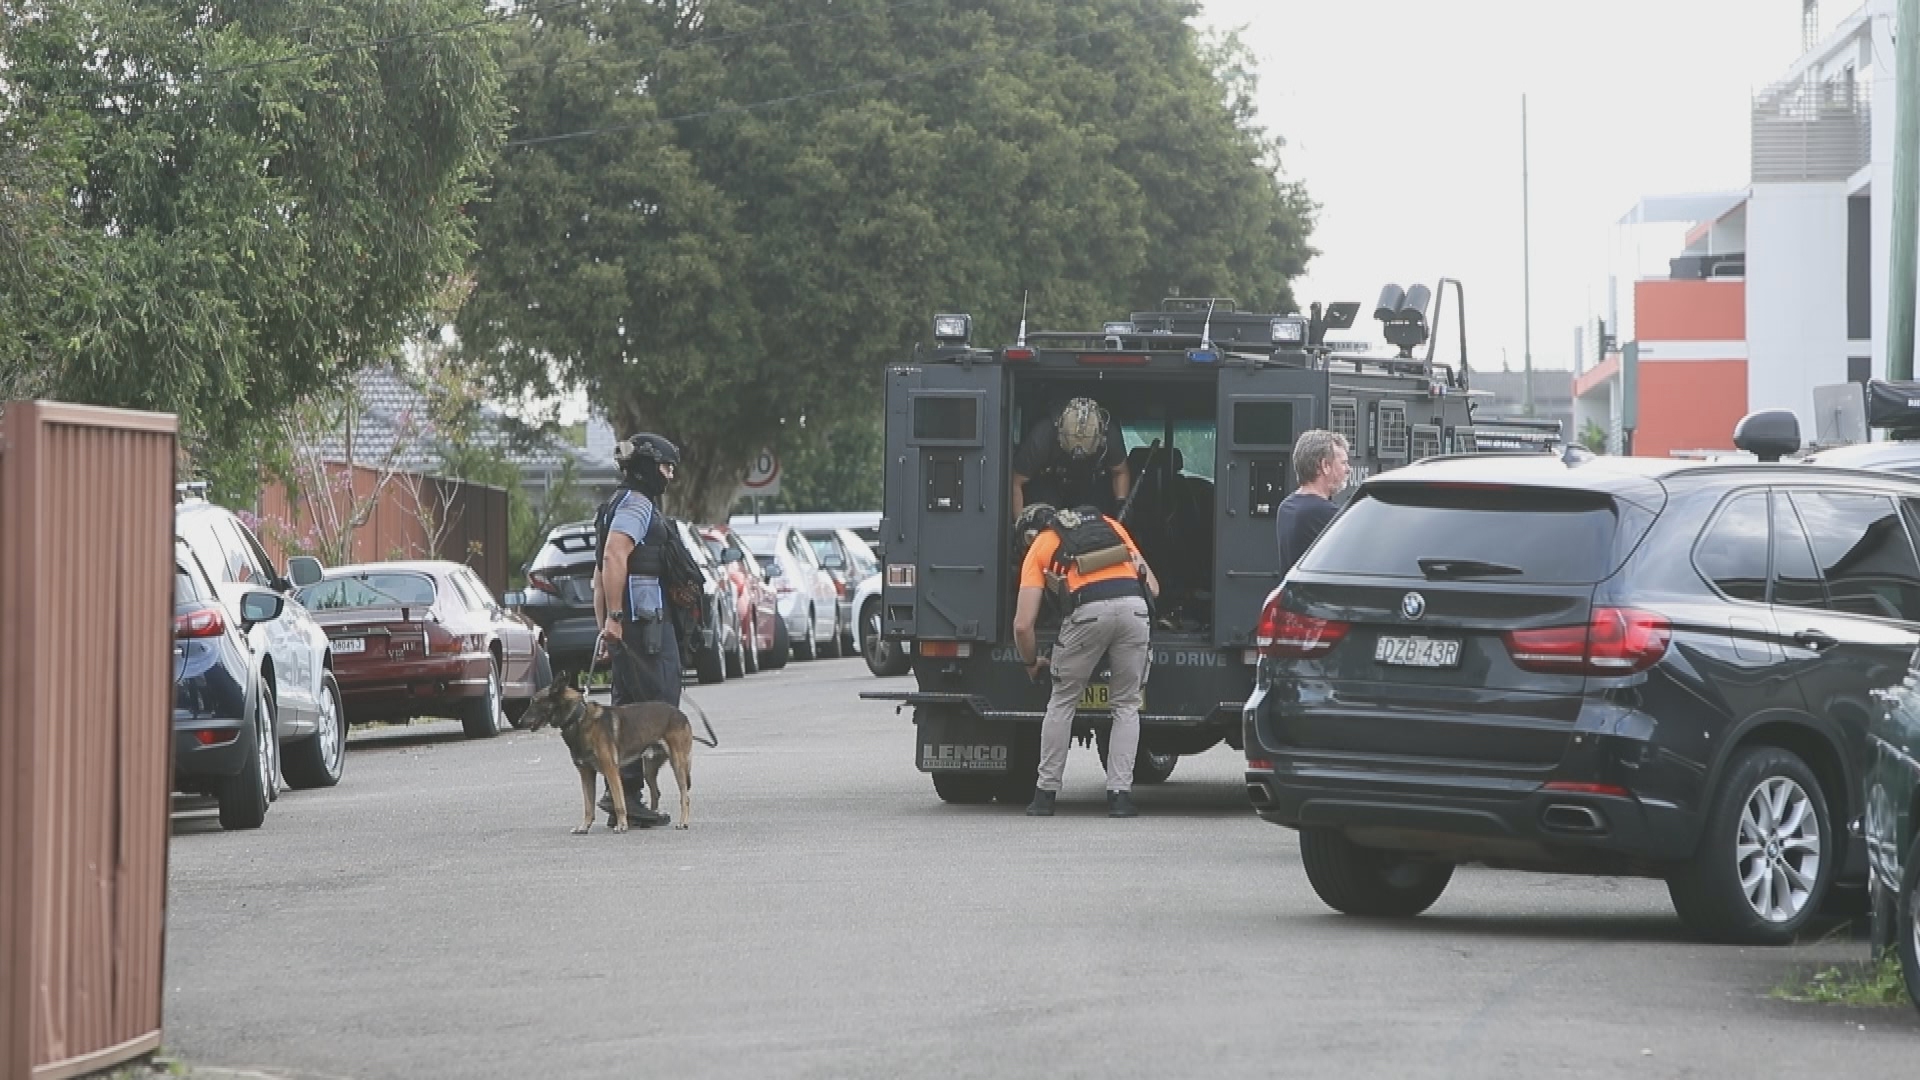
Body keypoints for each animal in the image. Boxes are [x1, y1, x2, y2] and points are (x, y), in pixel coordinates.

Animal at [518, 680, 714, 834]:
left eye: (534, 702)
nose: (519, 721)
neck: (579, 718)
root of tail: (681, 714)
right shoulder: (586, 774)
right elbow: (588, 805)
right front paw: (584, 827)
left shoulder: (611, 771)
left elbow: (619, 802)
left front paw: (621, 825)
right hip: (649, 769)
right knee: (656, 793)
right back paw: (652, 817)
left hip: (678, 764)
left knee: (684, 796)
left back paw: (683, 822)